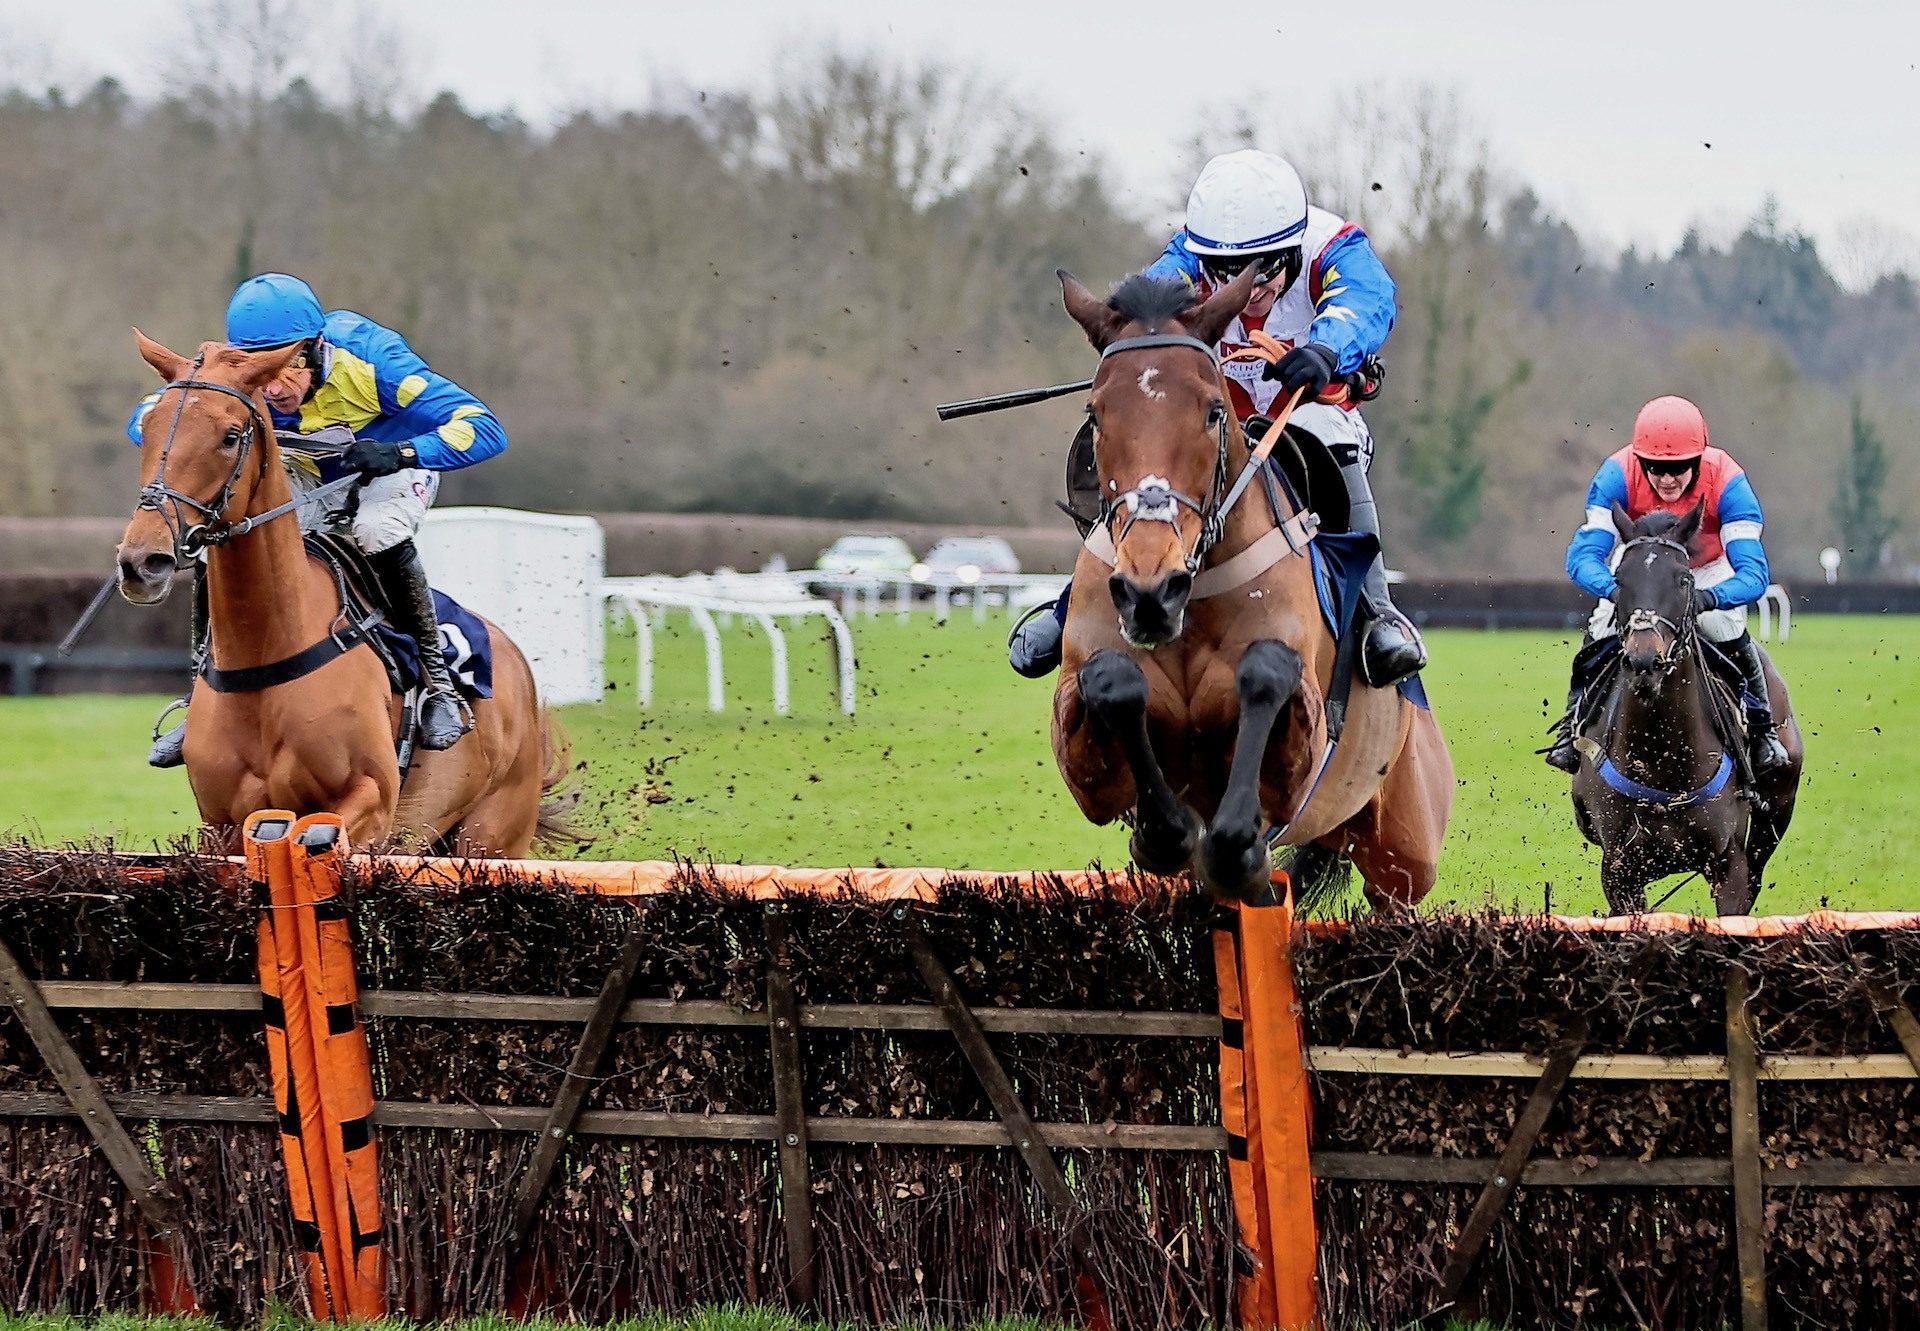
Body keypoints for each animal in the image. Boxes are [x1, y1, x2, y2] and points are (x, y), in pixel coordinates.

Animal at [113, 330, 572, 852]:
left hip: (493, 832)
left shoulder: (371, 800)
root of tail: (515, 659)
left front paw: (375, 455)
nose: (142, 562)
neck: (266, 653)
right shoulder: (221, 823)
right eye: (149, 427)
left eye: (229, 437)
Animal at [1052, 274, 1451, 910]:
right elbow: (1112, 681)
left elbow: (1265, 673)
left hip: (1406, 850)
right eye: (1096, 413)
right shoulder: (1084, 752)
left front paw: (1236, 846)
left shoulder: (1303, 739)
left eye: (1213, 411)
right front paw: (1167, 831)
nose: (1151, 589)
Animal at [1566, 499, 1804, 914]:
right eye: (1619, 579)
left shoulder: (1729, 865)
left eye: (1684, 580)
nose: (1645, 660)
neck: (1661, 758)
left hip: (1776, 814)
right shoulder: (1619, 868)